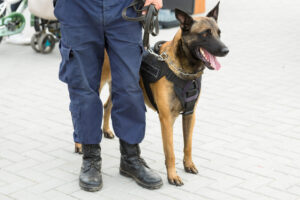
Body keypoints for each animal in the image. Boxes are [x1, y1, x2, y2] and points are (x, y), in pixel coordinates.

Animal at [74, 1, 227, 186]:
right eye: (205, 34)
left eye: (219, 33)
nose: (226, 50)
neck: (182, 71)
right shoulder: (166, 119)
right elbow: (170, 152)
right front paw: (173, 175)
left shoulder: (190, 114)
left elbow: (188, 145)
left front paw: (189, 164)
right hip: (96, 86)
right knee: (80, 111)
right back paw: (79, 144)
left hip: (122, 87)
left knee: (107, 105)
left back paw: (106, 130)